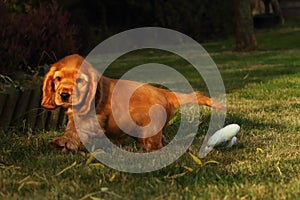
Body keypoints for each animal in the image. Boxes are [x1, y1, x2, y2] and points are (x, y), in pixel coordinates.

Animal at [41, 54, 225, 152]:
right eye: (58, 78)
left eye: (79, 80)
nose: (64, 95)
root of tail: (164, 92)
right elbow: (72, 127)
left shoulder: (93, 118)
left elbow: (77, 130)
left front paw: (65, 142)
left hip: (149, 126)